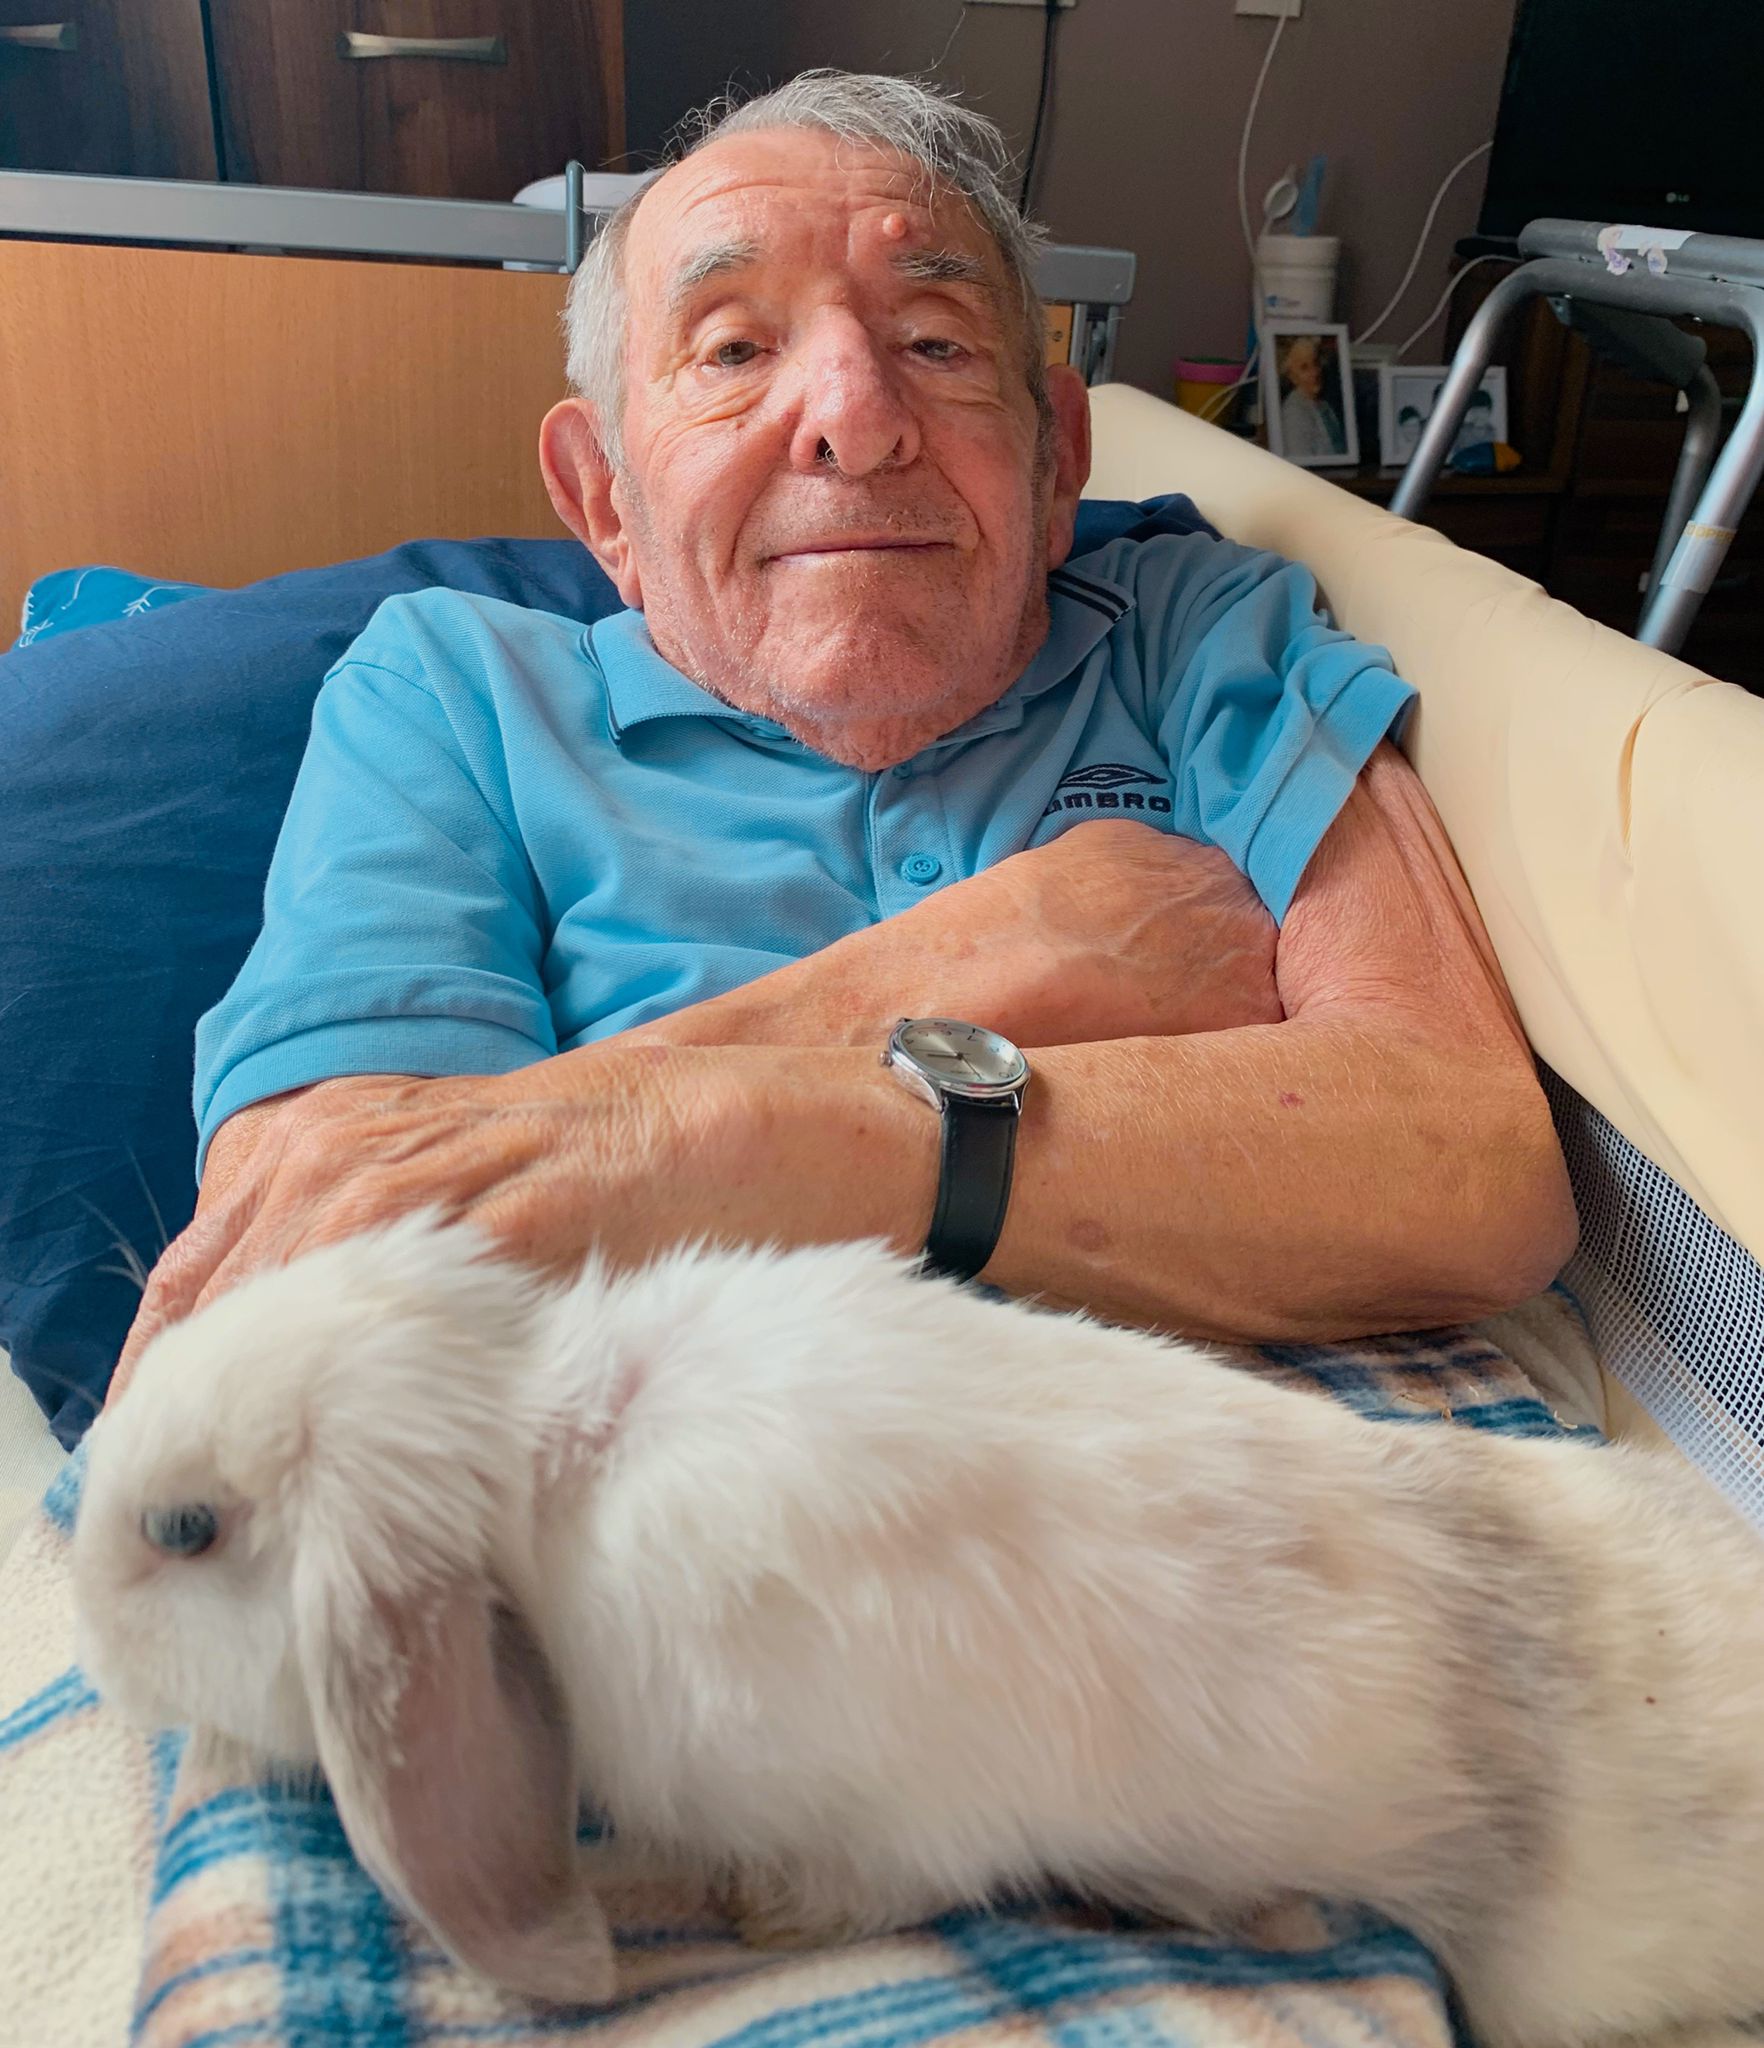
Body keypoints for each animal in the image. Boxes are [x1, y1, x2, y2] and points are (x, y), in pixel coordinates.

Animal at [71, 1212, 1764, 2048]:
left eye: (185, 1530)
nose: (83, 1634)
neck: (551, 1455)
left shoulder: (878, 1831)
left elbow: (842, 1896)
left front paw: (743, 1920)